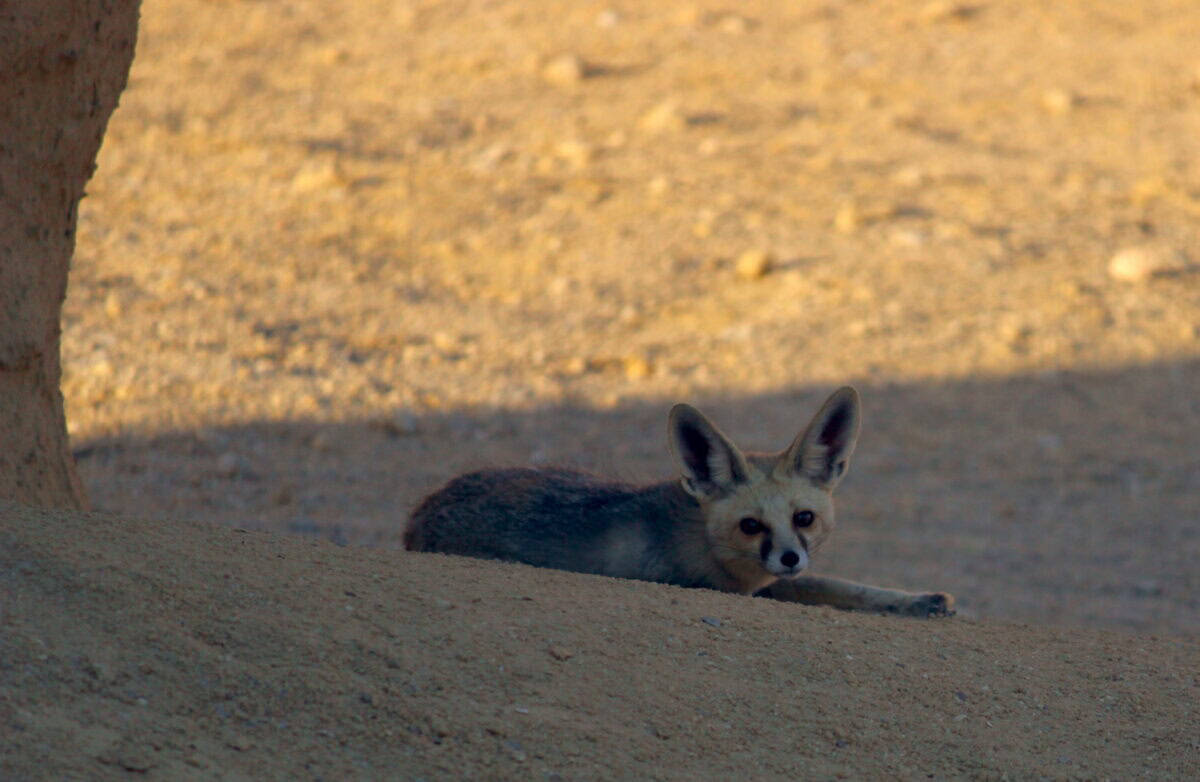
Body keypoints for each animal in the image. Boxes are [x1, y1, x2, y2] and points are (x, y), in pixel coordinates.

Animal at [405, 387, 954, 617]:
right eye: (750, 525)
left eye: (805, 518)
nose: (789, 557)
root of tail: (420, 513)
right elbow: (819, 588)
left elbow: (839, 585)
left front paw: (917, 599)